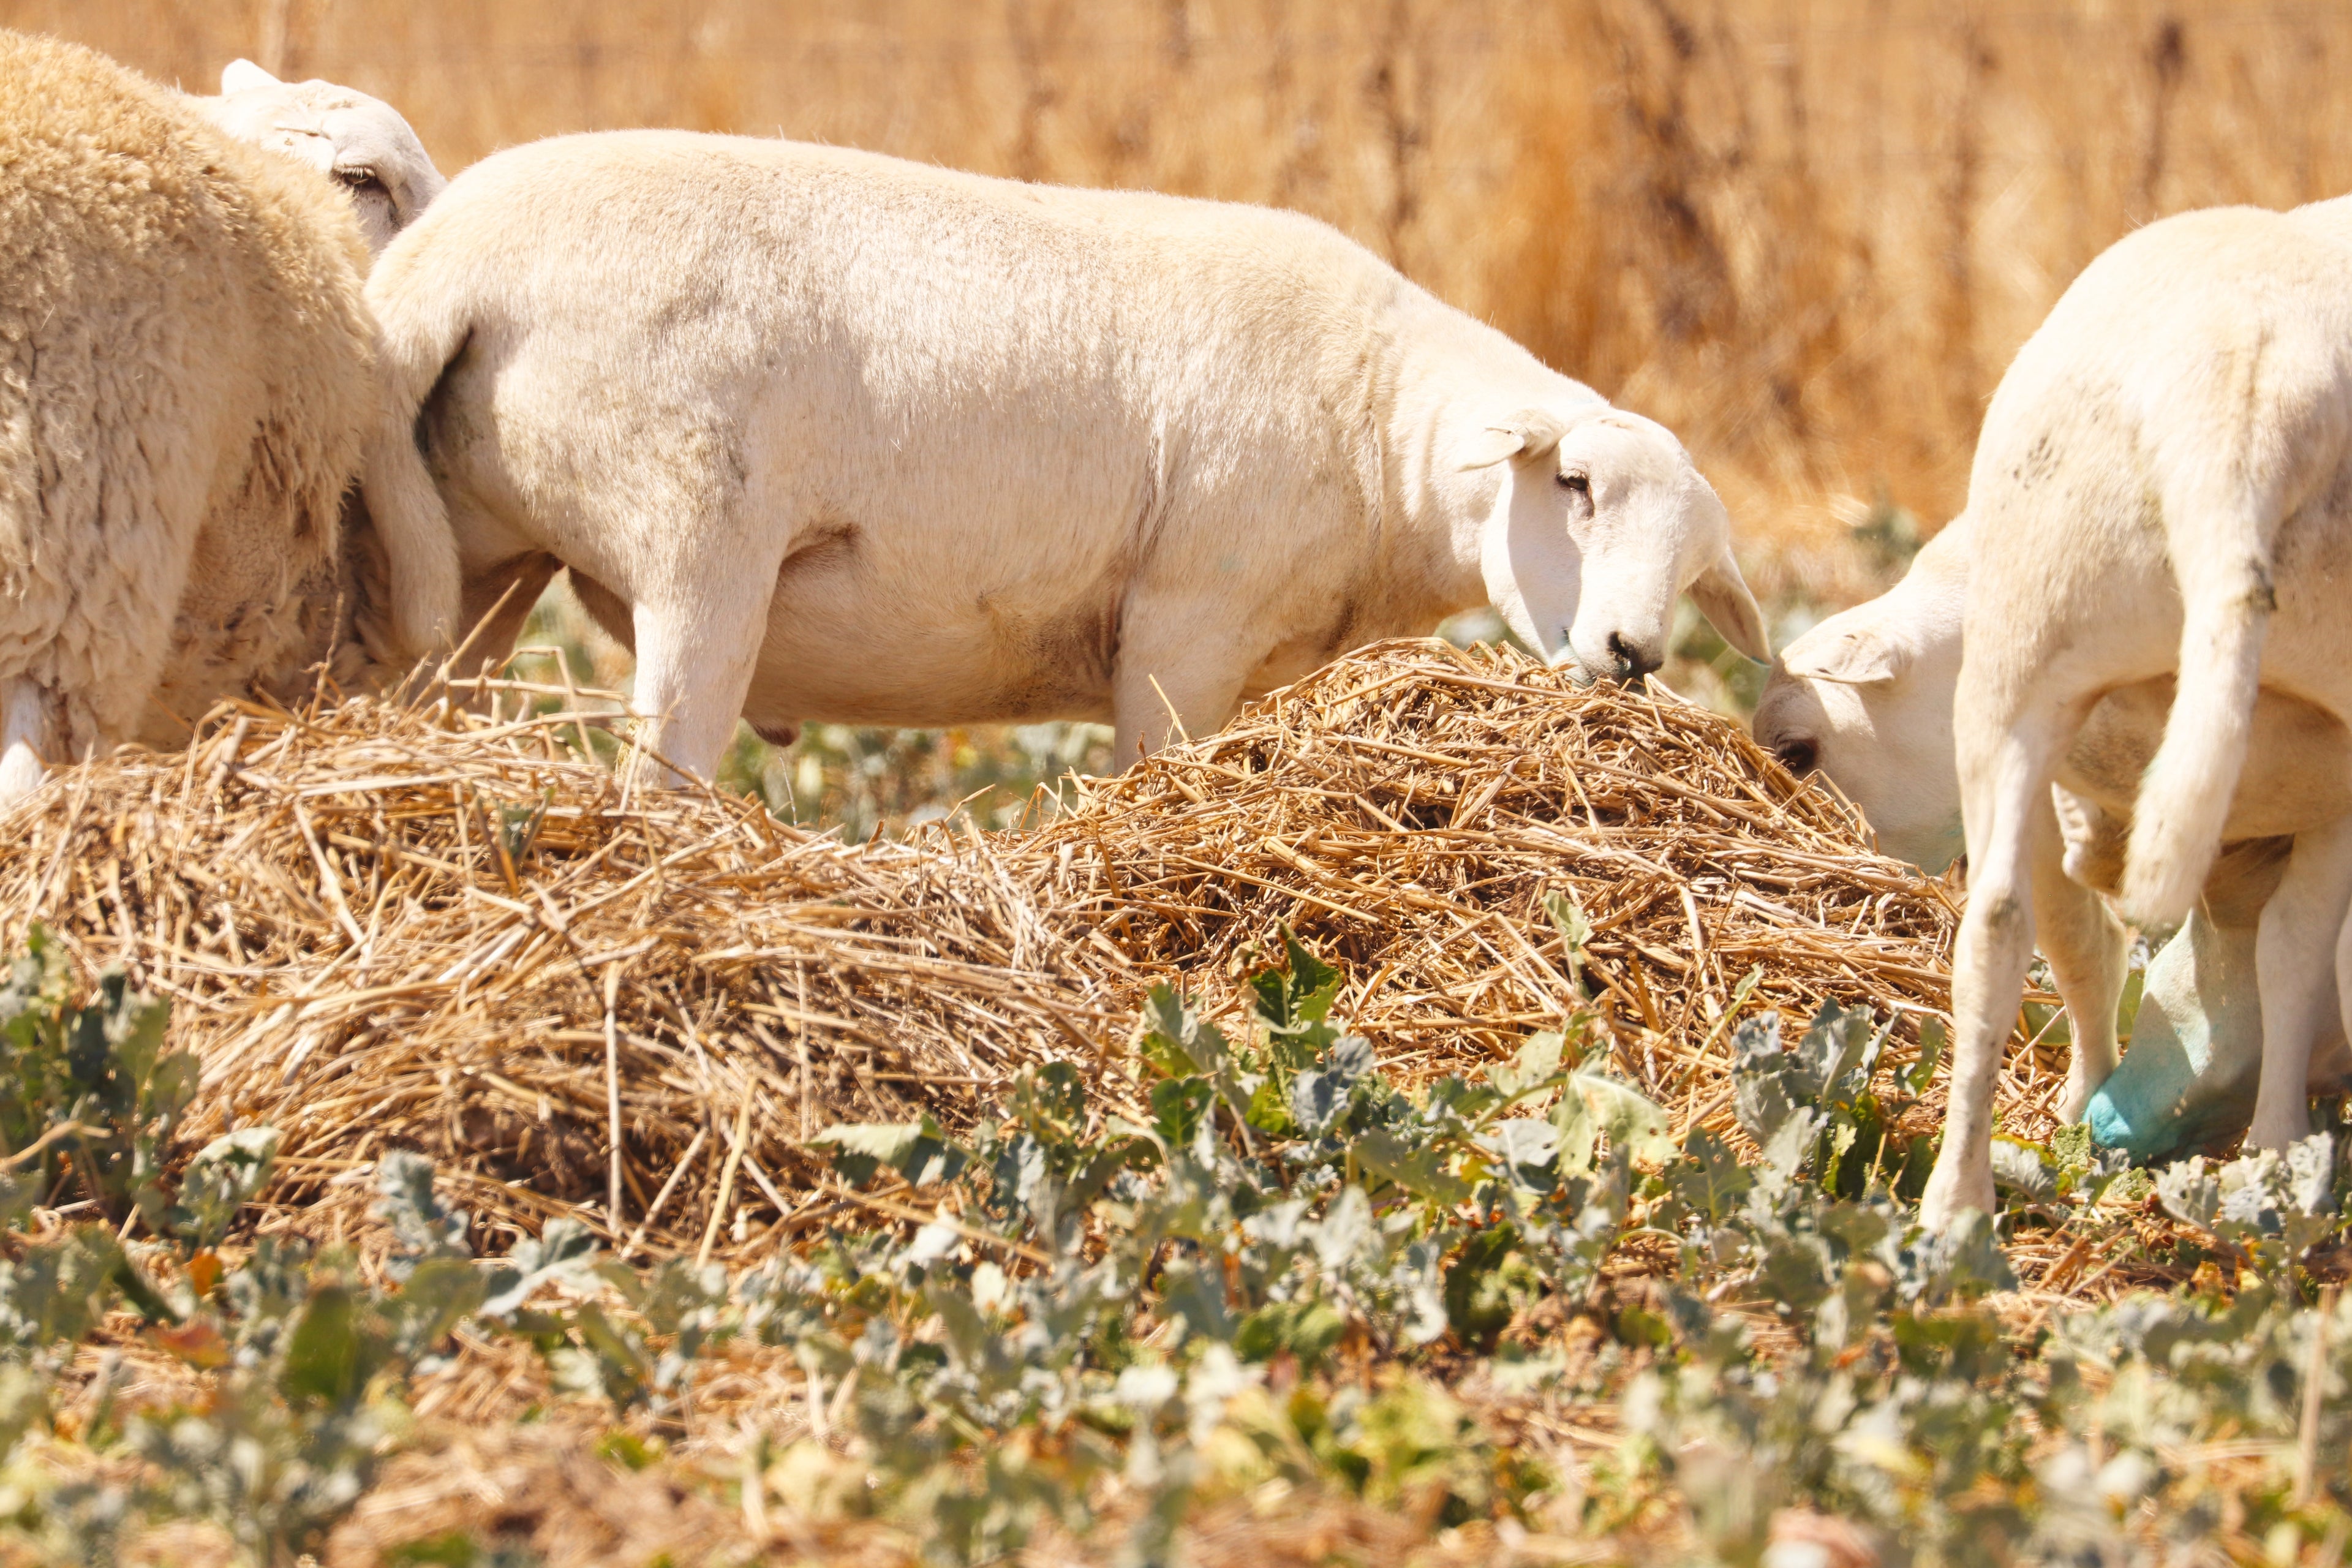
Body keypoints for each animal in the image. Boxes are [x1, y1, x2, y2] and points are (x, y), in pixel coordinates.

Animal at [359, 130, 1772, 781]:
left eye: (1697, 570)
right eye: (1573, 486)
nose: (1632, 655)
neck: (1384, 430)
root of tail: (448, 266)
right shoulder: (1185, 629)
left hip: (482, 550)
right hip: (694, 543)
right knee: (663, 778)